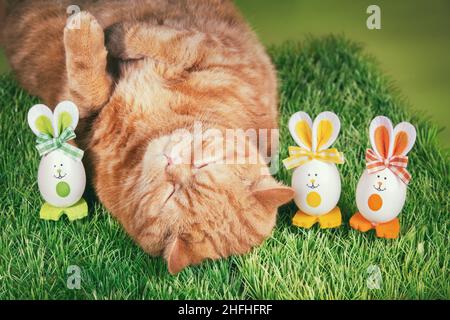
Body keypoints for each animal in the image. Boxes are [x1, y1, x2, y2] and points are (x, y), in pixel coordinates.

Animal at [0, 1, 296, 274]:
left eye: (169, 194)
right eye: (202, 165)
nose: (172, 163)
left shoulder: (82, 122)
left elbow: (87, 86)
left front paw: (86, 31)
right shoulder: (212, 51)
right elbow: (162, 41)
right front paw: (113, 33)